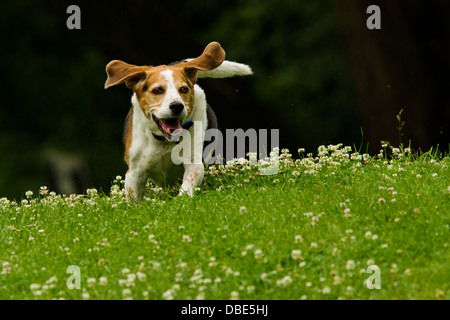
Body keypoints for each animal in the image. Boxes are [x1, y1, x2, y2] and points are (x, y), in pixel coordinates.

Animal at [106, 41, 253, 201]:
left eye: (183, 89)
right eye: (157, 90)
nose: (177, 106)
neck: (164, 142)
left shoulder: (194, 164)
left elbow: (186, 186)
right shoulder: (134, 173)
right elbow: (134, 200)